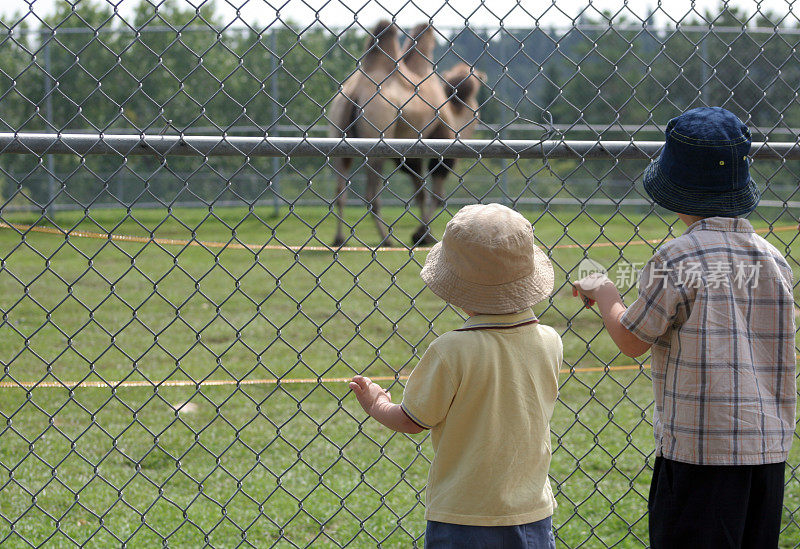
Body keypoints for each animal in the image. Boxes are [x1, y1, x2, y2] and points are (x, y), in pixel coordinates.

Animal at [328, 21, 484, 247]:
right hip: (377, 136)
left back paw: (340, 238)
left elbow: (420, 192)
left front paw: (422, 233)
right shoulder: (441, 141)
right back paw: (386, 239)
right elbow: (437, 195)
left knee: (340, 190)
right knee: (371, 196)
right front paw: (423, 235)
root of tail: (354, 93)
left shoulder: (412, 153)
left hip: (339, 132)